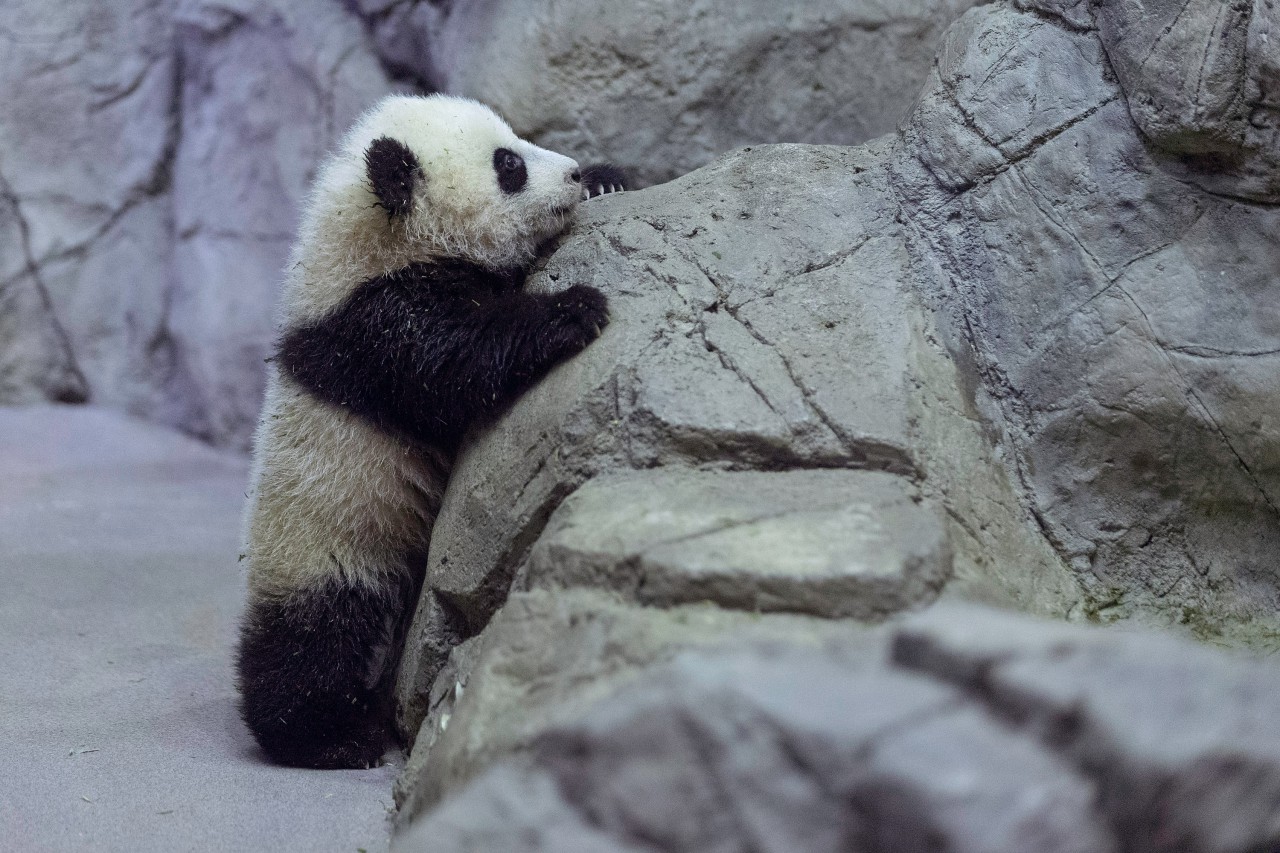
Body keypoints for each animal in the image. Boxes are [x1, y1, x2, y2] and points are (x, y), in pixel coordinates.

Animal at [235, 94, 625, 769]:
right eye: (508, 165)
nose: (573, 173)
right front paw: (575, 308)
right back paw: (328, 737)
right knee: (317, 637)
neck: (373, 241)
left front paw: (610, 178)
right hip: (327, 539)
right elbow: (455, 362)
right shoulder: (374, 327)